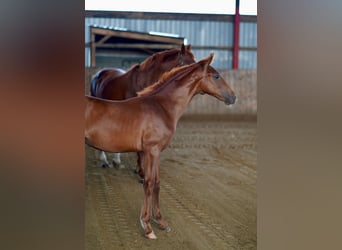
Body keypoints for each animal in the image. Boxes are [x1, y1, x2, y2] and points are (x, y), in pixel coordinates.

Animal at [84, 53, 236, 239]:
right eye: (216, 76)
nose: (233, 97)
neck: (161, 106)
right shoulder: (152, 151)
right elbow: (149, 183)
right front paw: (147, 226)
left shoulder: (155, 153)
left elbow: (157, 183)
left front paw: (161, 221)